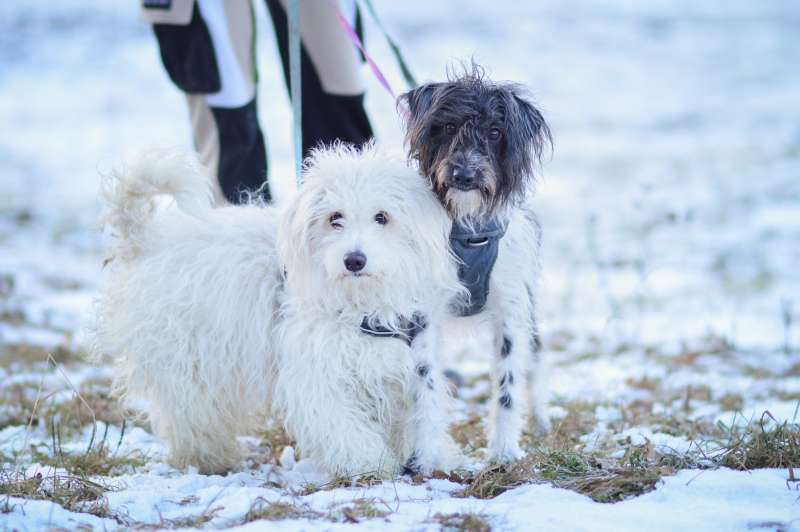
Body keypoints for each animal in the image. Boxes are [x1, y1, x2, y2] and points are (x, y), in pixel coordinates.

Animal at [90, 144, 464, 476]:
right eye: (335, 218)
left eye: (382, 217)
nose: (354, 260)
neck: (361, 304)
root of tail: (146, 240)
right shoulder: (318, 372)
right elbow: (341, 424)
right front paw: (370, 463)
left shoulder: (412, 366)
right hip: (187, 359)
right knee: (191, 414)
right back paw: (208, 458)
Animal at [399, 66, 553, 461]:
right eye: (449, 127)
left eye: (495, 132)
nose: (465, 176)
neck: (469, 230)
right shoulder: (424, 315)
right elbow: (426, 383)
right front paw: (426, 455)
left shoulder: (511, 312)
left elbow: (508, 384)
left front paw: (504, 451)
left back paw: (541, 419)